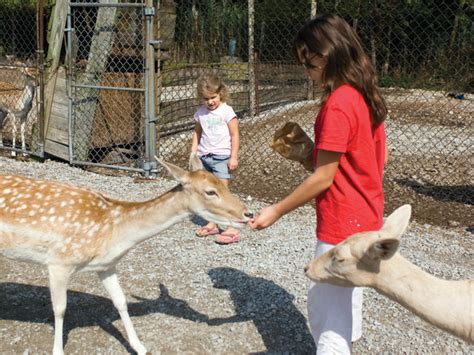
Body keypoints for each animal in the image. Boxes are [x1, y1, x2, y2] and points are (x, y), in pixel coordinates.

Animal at [0, 155, 254, 355]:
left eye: (224, 184)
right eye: (210, 191)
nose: (248, 213)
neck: (115, 234)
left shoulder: (107, 265)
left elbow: (121, 301)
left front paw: (140, 347)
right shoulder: (59, 261)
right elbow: (60, 308)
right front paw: (57, 351)